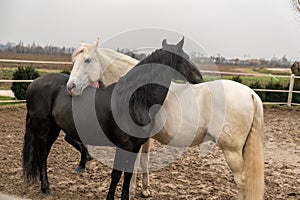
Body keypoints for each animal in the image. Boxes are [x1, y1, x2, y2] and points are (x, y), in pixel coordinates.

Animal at [22, 41, 202, 200]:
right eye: (184, 57)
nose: (200, 77)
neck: (134, 100)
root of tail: (32, 85)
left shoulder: (135, 146)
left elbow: (128, 173)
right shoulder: (123, 145)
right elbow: (116, 174)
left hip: (54, 129)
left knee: (44, 154)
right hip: (43, 128)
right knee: (42, 154)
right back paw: (46, 188)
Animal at [67, 38, 264, 199]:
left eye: (87, 60)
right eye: (74, 61)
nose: (71, 87)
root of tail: (251, 94)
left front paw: (132, 190)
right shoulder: (143, 140)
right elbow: (143, 161)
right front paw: (145, 189)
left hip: (232, 151)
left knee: (242, 181)